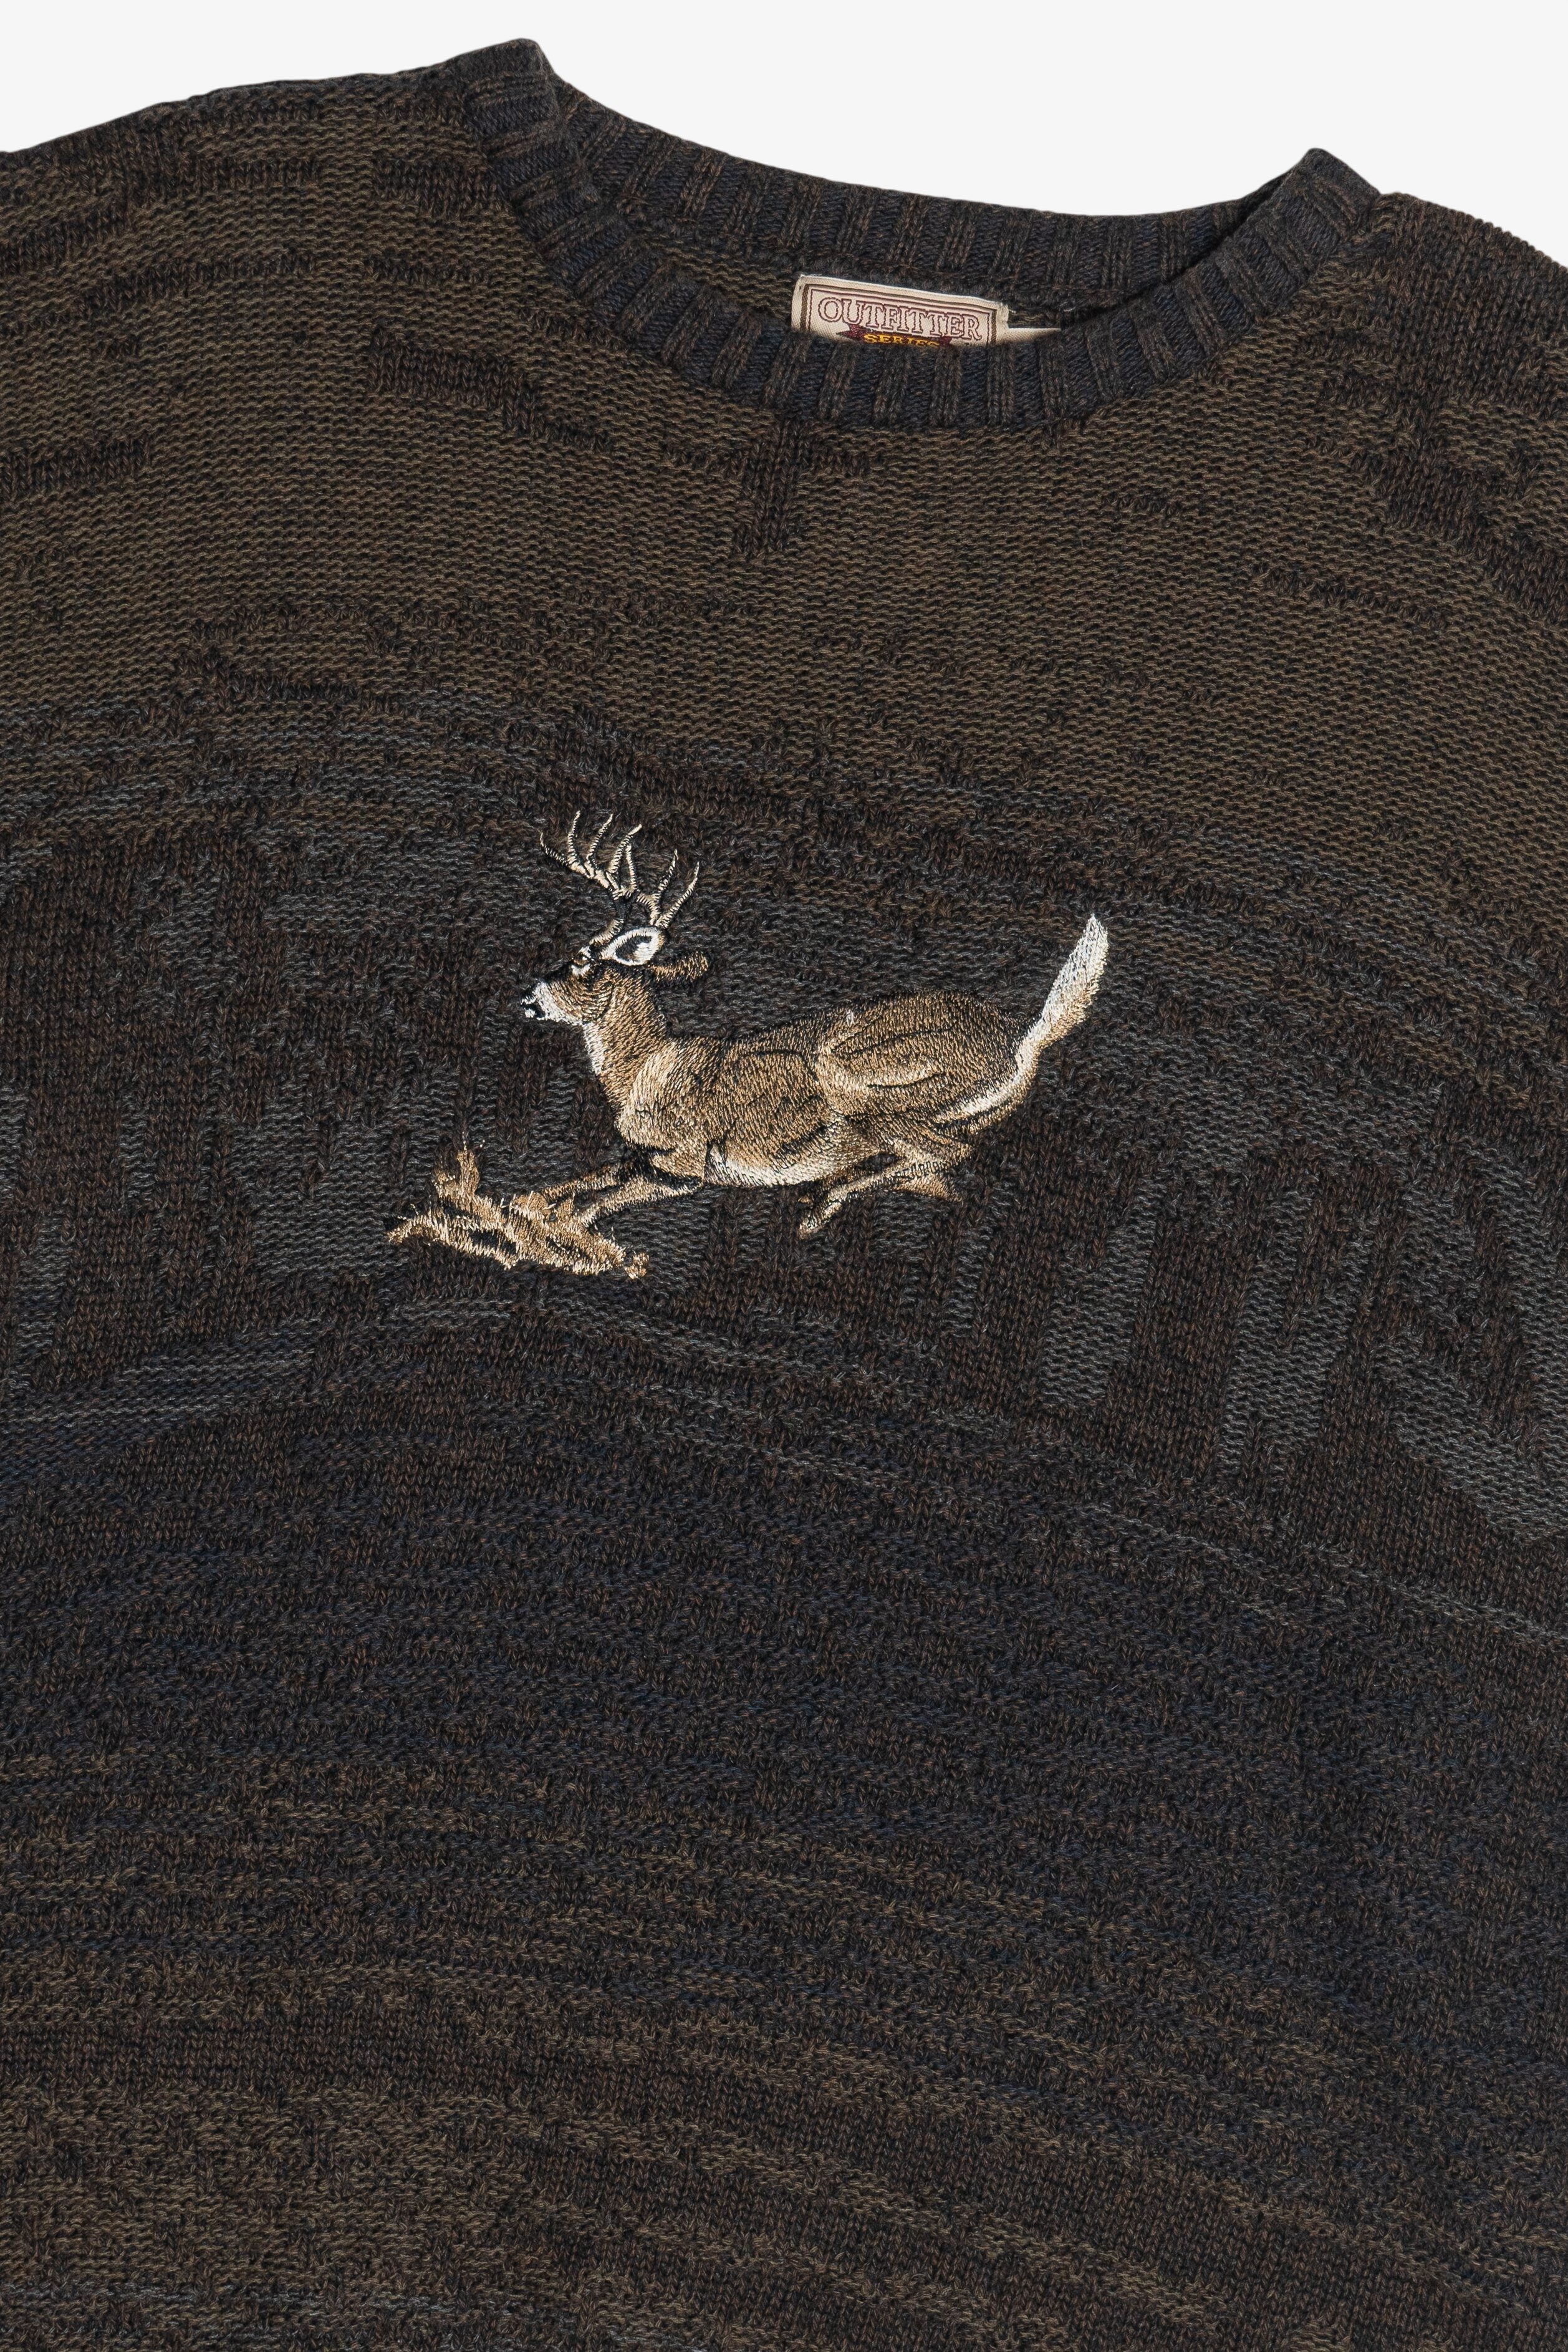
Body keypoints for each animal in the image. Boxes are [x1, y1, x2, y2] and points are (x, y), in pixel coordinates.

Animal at [393, 812, 1108, 1280]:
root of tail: (1018, 1045)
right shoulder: (639, 1156)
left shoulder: (685, 1165)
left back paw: (818, 1207)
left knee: (944, 1152)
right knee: (941, 1172)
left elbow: (588, 1208)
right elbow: (555, 1192)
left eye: (583, 962)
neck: (645, 1069)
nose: (527, 1000)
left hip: (856, 1079)